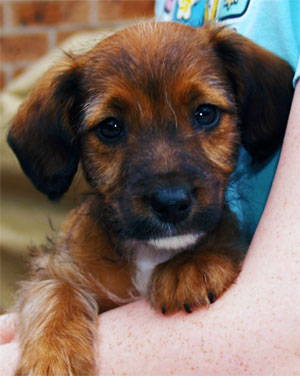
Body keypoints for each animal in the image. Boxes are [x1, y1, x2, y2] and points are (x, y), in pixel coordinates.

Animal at [7, 22, 296, 374]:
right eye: (110, 127)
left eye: (205, 113)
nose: (171, 203)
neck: (148, 253)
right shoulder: (54, 269)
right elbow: (56, 291)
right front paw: (52, 355)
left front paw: (192, 264)